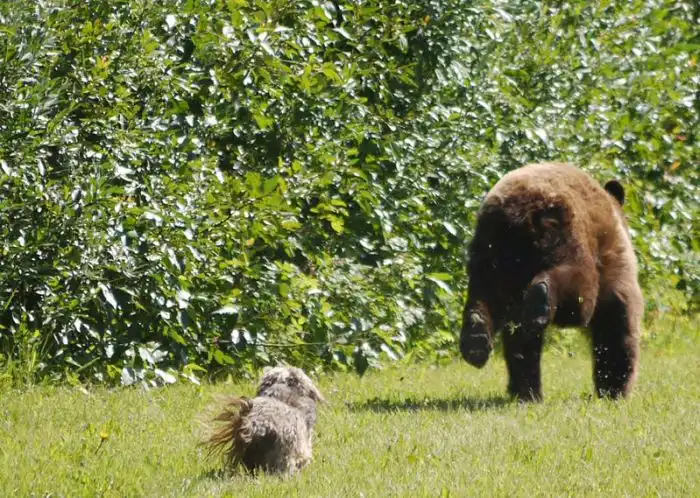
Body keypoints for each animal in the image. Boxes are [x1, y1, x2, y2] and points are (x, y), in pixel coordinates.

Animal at [459, 162, 643, 402]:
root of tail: (517, 211)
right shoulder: (613, 262)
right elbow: (617, 319)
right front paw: (614, 387)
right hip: (564, 232)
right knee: (579, 297)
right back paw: (541, 298)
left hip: (491, 252)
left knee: (488, 296)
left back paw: (477, 342)